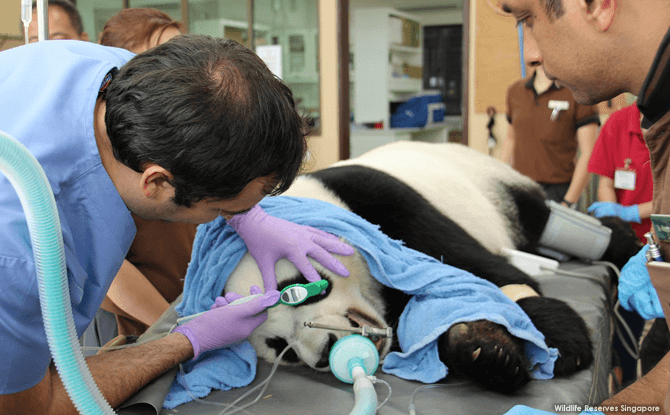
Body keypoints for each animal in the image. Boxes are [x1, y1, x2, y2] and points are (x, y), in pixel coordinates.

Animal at [223, 141, 644, 394]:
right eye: (282, 349)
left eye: (297, 291)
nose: (325, 353)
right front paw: (485, 353)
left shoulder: (376, 199)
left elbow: (485, 272)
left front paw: (561, 339)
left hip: (495, 188)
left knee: (551, 221)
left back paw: (624, 241)